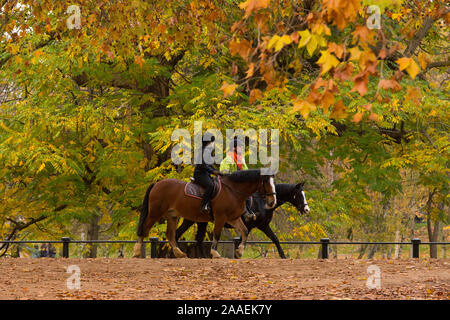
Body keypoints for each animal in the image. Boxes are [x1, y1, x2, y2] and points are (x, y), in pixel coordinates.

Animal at [132, 169, 276, 258]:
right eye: (265, 182)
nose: (272, 202)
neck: (232, 191)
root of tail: (157, 184)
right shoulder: (221, 217)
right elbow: (217, 234)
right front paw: (215, 253)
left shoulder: (233, 218)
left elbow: (245, 231)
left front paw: (239, 252)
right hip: (155, 213)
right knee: (145, 229)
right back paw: (137, 252)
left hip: (172, 216)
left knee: (171, 235)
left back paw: (179, 254)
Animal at [175, 181, 310, 258]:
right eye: (299, 195)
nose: (306, 209)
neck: (262, 202)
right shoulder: (249, 226)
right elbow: (241, 239)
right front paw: (238, 253)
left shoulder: (263, 226)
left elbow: (275, 239)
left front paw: (283, 256)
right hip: (194, 221)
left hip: (198, 222)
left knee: (194, 239)